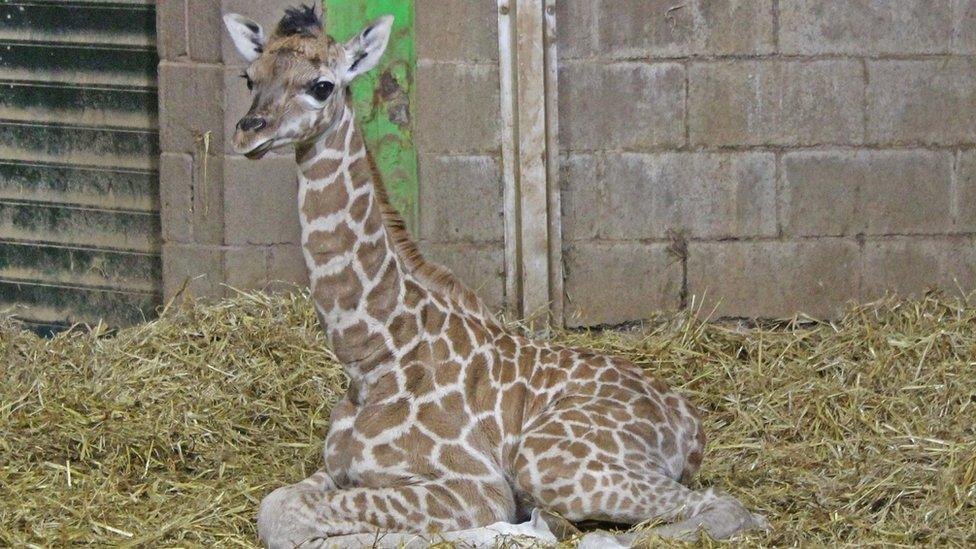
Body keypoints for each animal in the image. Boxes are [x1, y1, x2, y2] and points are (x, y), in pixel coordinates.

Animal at [225, 5, 768, 548]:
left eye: (322, 86)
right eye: (249, 76)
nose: (248, 132)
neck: (371, 358)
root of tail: (691, 424)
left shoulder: (473, 485)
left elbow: (298, 519)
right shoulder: (338, 468)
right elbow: (276, 506)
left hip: (549, 461)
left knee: (727, 507)